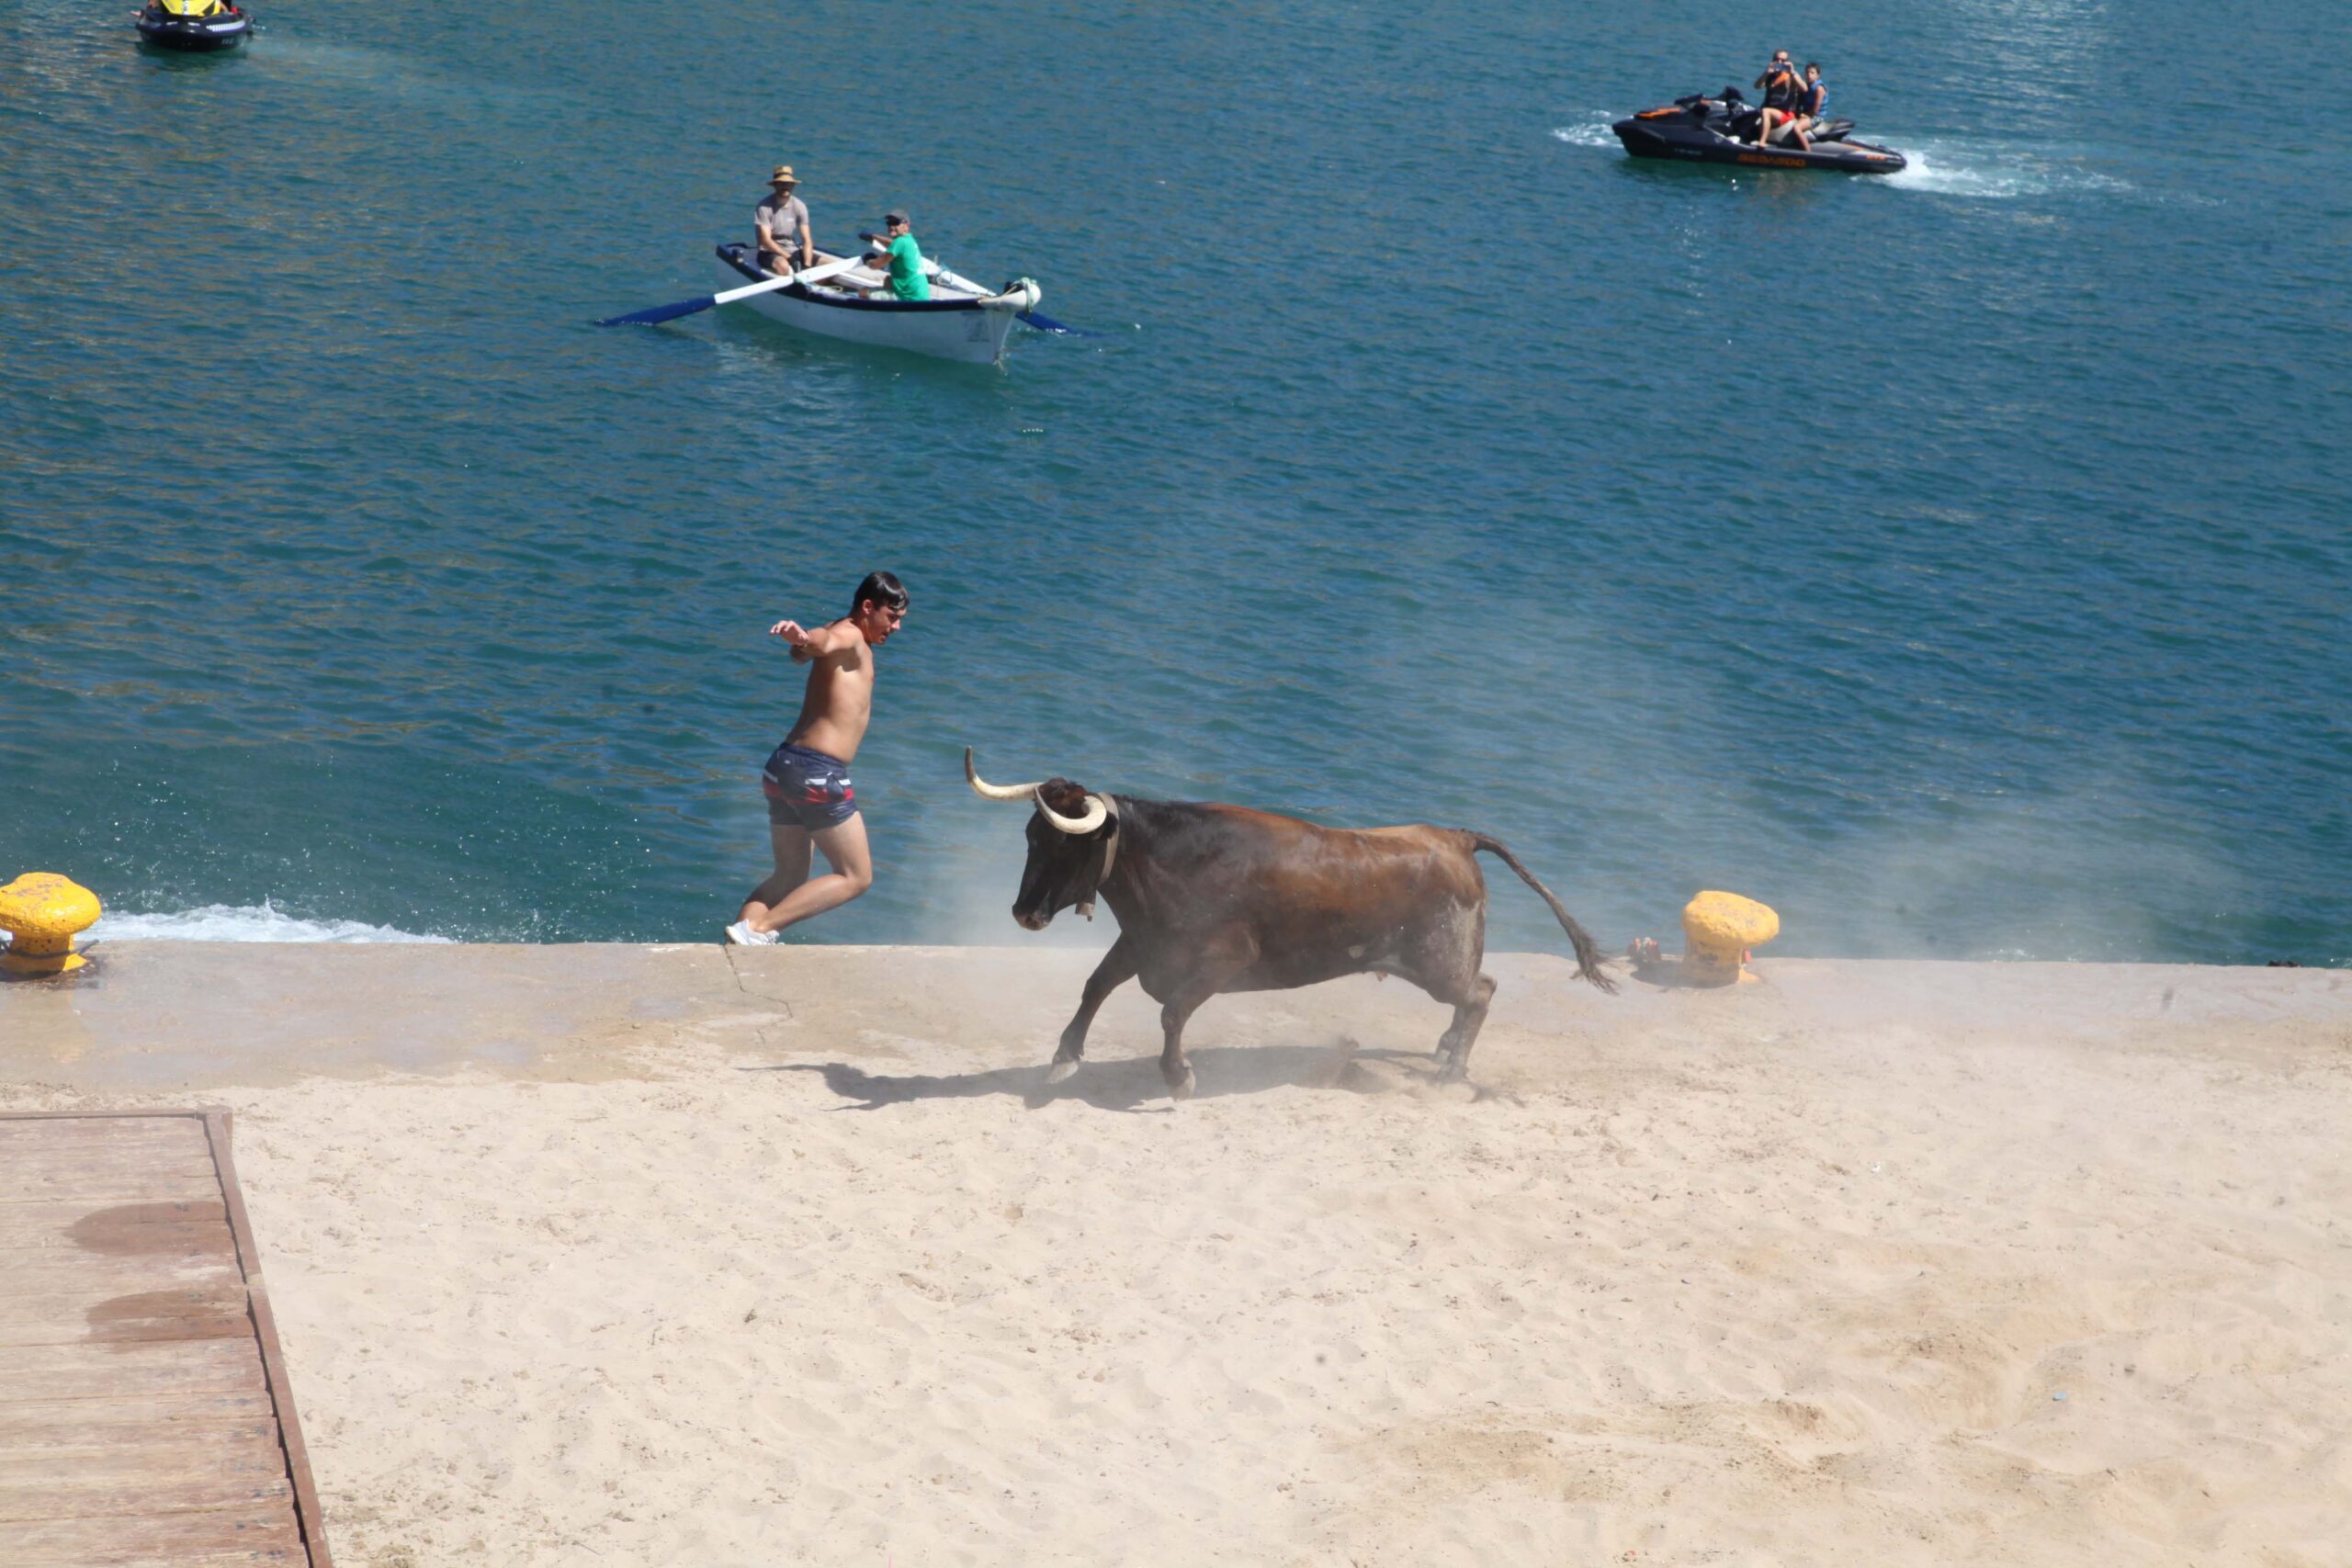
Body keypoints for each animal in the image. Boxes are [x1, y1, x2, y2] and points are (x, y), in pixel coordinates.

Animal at [964, 751, 1609, 1104]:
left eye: (1067, 847)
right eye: (1031, 837)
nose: (1024, 914)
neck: (1169, 859)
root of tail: (1454, 837)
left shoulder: (1223, 961)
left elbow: (1171, 1014)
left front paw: (1178, 1077)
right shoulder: (1140, 945)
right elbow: (1095, 986)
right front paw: (1064, 1057)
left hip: (1440, 965)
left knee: (1480, 992)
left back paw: (1451, 1070)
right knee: (1474, 997)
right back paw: (1447, 1050)